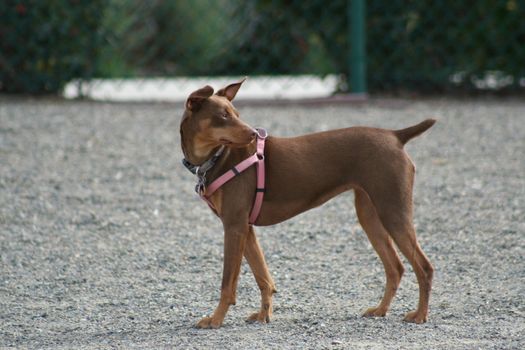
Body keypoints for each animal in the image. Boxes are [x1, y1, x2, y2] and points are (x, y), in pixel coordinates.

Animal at [180, 78, 434, 328]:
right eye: (223, 116)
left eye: (236, 113)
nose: (253, 133)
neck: (216, 159)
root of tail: (395, 135)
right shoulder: (245, 228)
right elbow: (264, 278)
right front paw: (264, 315)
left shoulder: (234, 226)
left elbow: (227, 284)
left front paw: (215, 319)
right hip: (370, 214)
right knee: (395, 268)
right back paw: (381, 310)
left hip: (393, 211)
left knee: (424, 267)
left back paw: (420, 315)